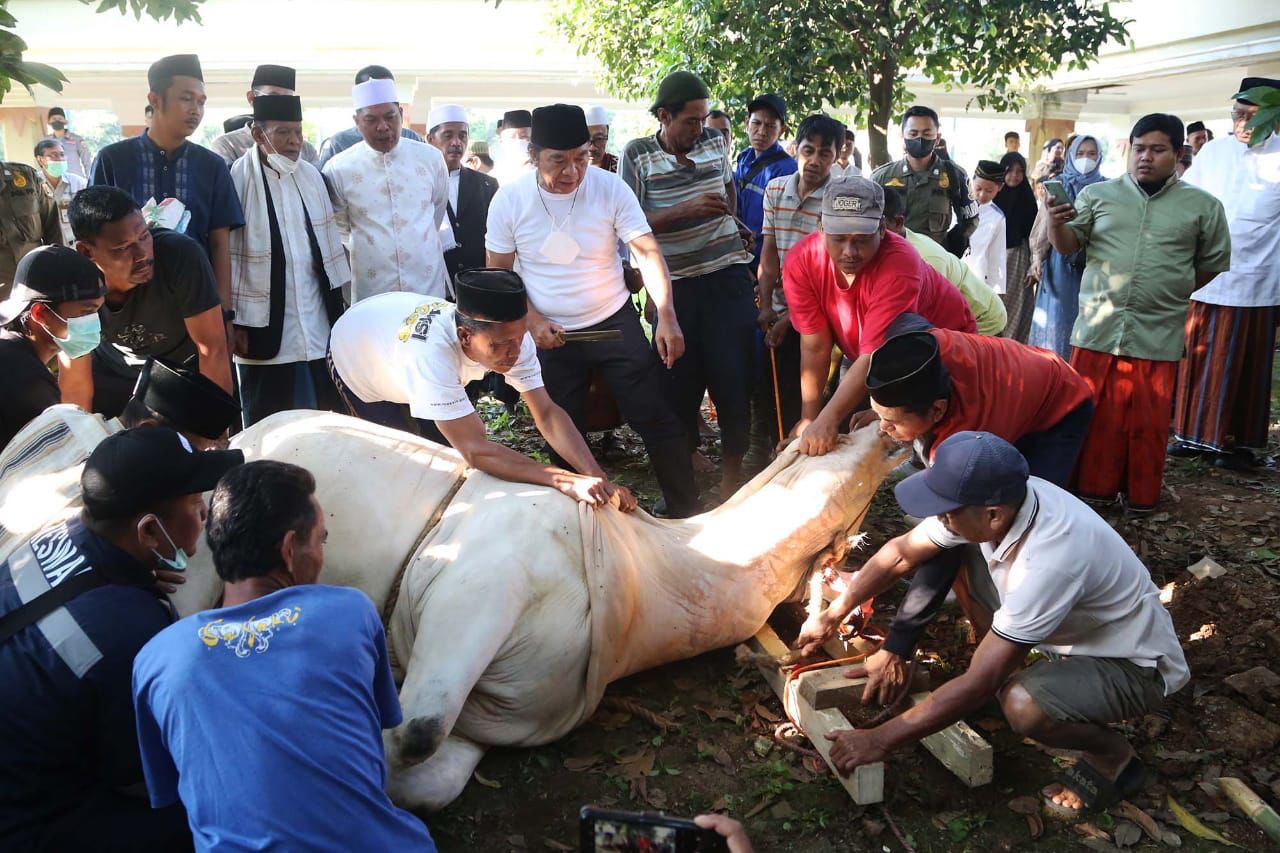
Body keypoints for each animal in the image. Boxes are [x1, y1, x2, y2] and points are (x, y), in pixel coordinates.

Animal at [0, 409, 901, 809]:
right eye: (851, 427)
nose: (883, 421)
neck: (661, 573)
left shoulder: (490, 719)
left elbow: (430, 766)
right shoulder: (478, 587)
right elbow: (414, 730)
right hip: (179, 565)